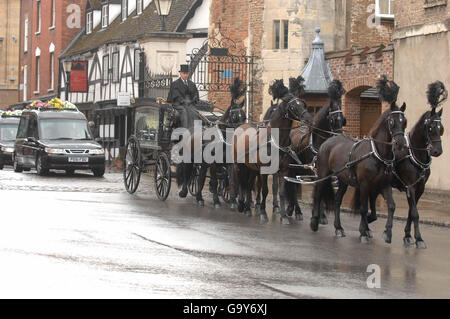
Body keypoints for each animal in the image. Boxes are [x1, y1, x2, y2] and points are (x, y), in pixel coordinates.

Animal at [312, 76, 408, 244]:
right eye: (392, 121)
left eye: (404, 121)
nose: (401, 143)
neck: (377, 154)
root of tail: (328, 141)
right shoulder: (364, 184)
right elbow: (363, 208)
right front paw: (364, 232)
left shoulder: (384, 184)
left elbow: (391, 206)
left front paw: (387, 232)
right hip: (323, 174)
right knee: (318, 194)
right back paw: (315, 221)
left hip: (343, 179)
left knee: (337, 201)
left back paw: (338, 228)